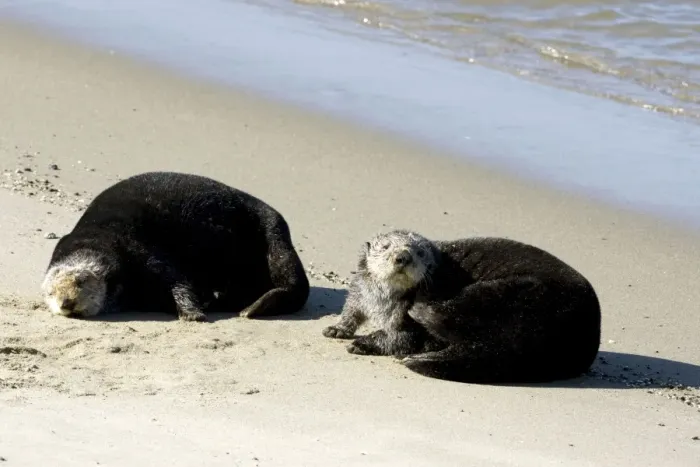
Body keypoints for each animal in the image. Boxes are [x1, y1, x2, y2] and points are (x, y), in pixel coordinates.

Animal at [42, 171, 310, 321]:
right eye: (50, 293)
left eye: (81, 281)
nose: (66, 303)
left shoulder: (140, 248)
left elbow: (176, 279)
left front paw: (192, 313)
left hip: (274, 232)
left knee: (293, 283)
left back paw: (253, 308)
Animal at [323, 230, 601, 384]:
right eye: (386, 246)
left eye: (420, 252)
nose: (403, 257)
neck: (382, 298)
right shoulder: (360, 289)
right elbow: (352, 307)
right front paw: (338, 329)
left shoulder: (406, 325)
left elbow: (401, 338)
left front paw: (364, 342)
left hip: (510, 295)